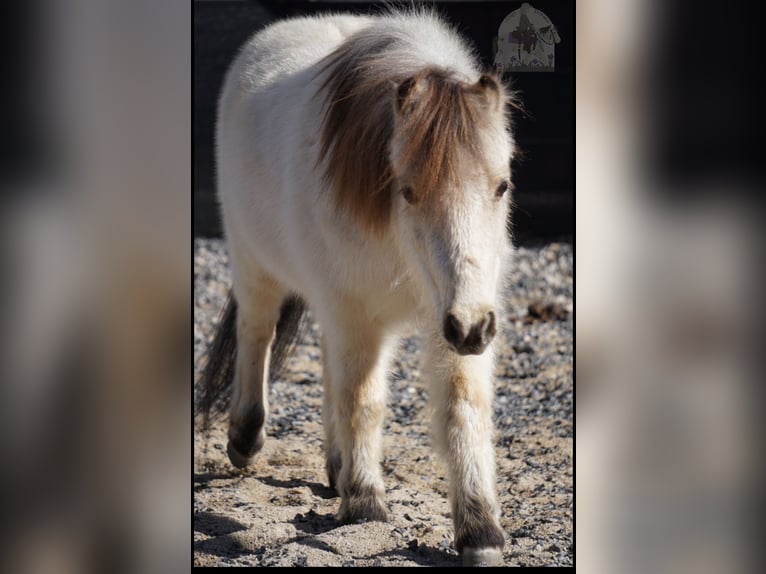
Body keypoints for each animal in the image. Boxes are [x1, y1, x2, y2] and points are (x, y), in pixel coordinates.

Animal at [198, 7, 520, 568]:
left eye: (500, 185)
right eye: (408, 191)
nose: (473, 328)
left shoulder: (454, 317)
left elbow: (462, 406)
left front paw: (481, 531)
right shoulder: (360, 315)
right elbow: (364, 402)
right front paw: (367, 506)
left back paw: (336, 470)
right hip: (255, 263)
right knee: (257, 332)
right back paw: (246, 437)